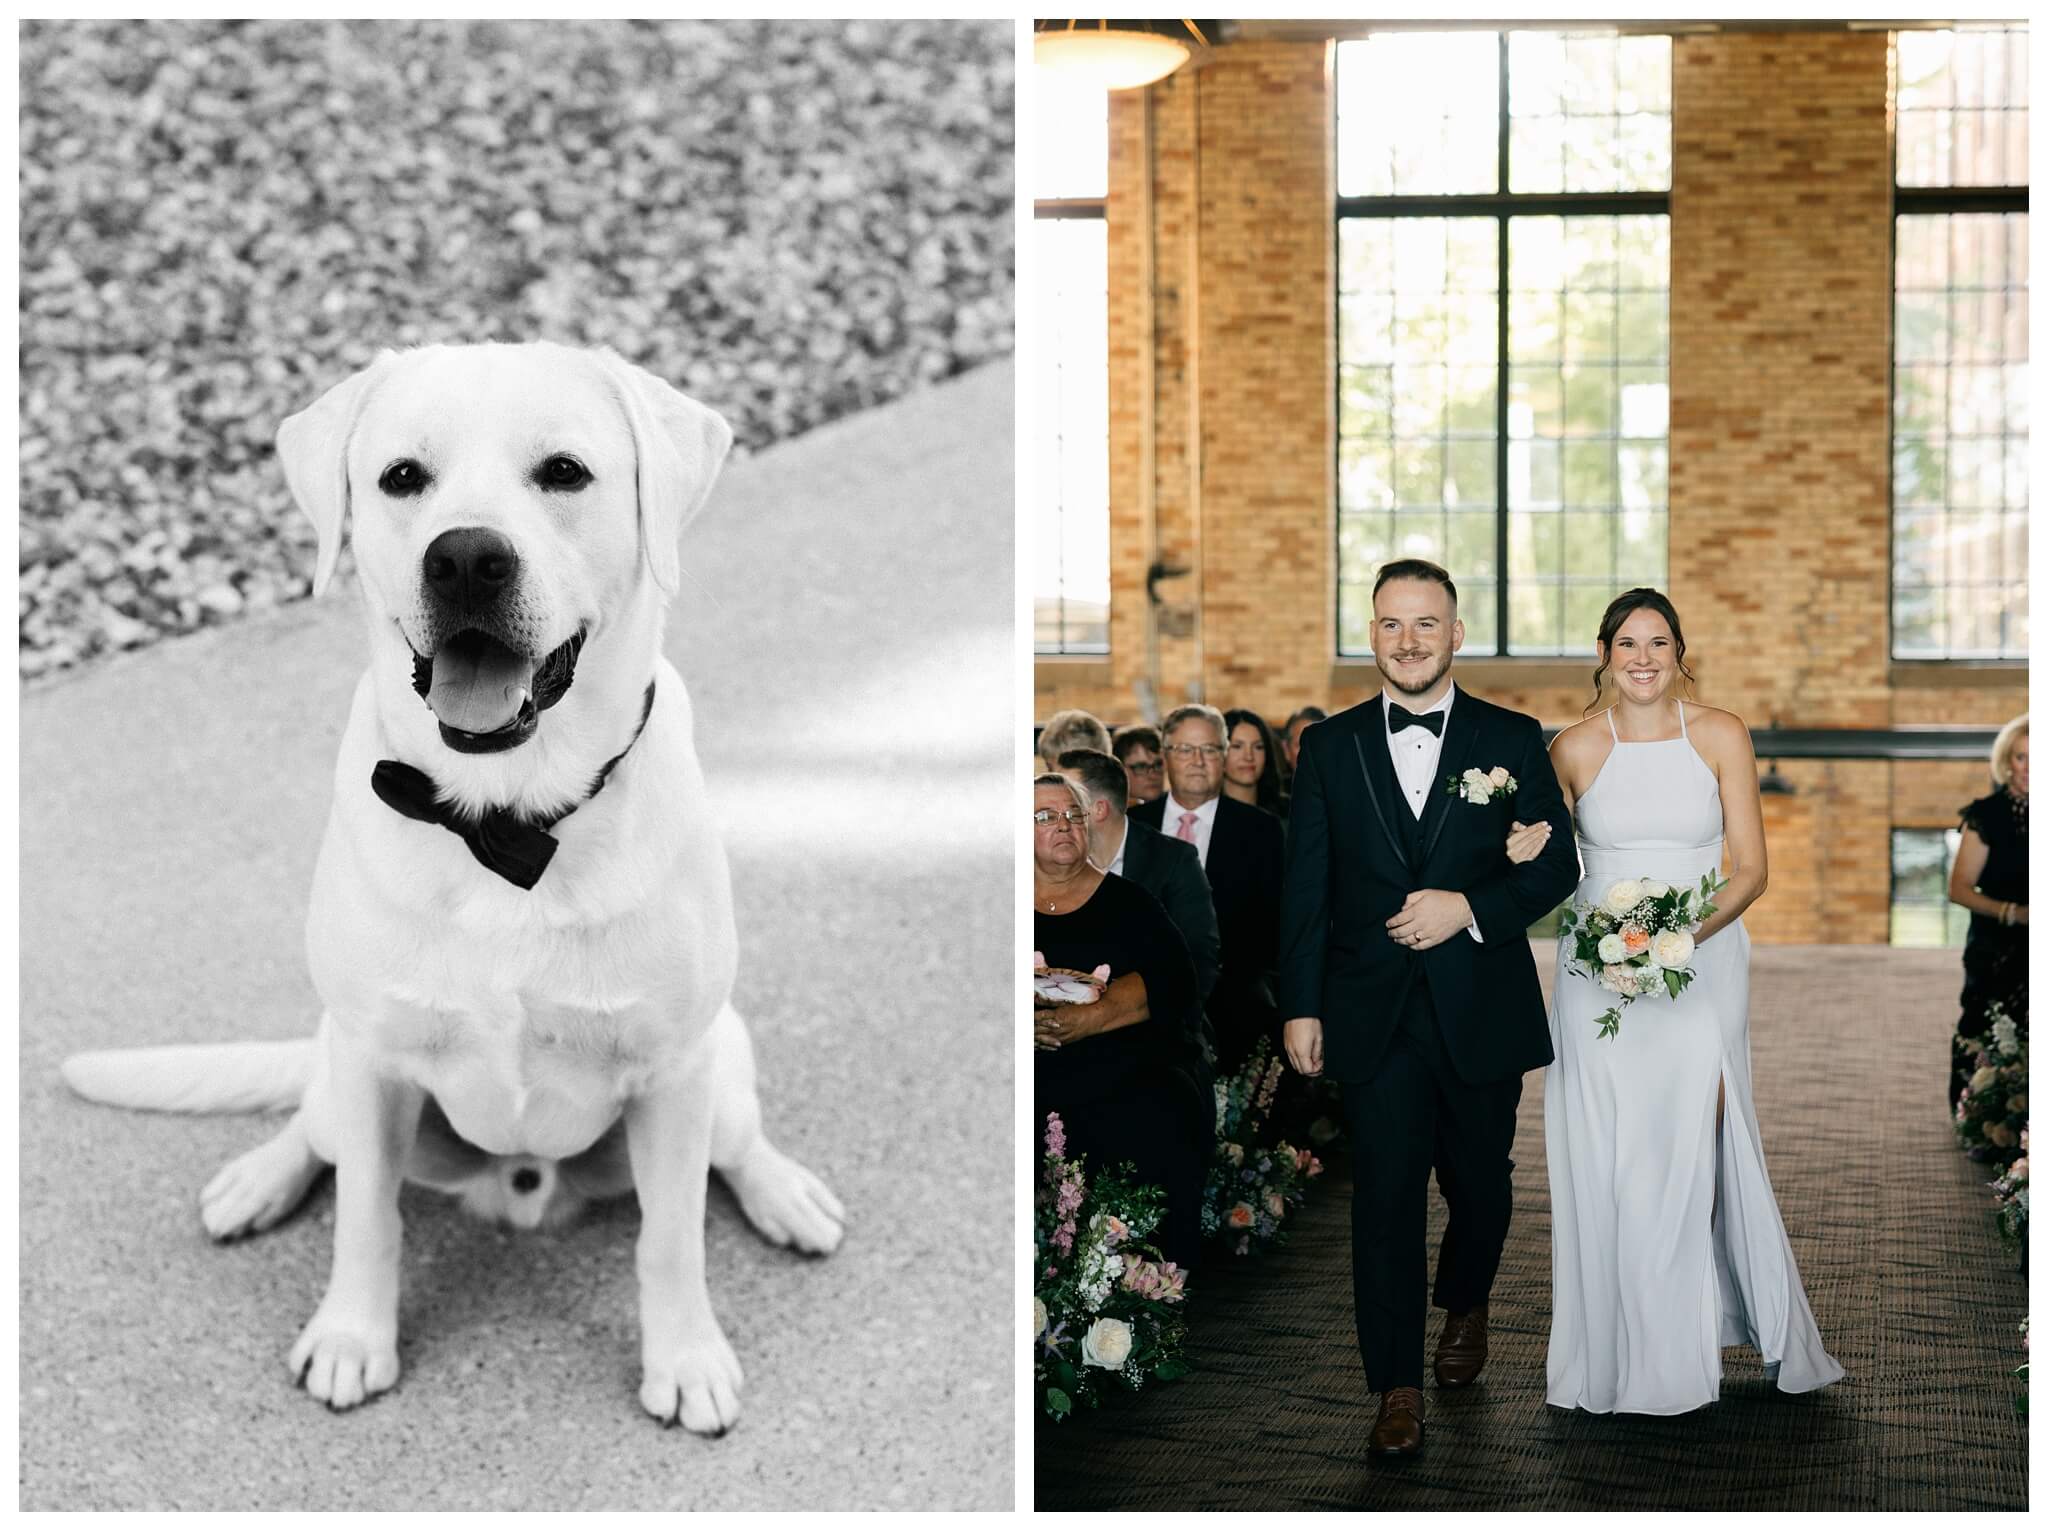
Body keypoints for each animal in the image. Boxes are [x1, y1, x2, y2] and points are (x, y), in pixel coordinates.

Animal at [64, 341, 843, 1432]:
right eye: (402, 477)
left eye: (564, 472)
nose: (466, 557)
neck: (503, 821)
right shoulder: (372, 1064)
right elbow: (366, 1220)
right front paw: (352, 1336)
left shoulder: (673, 1074)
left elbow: (671, 1236)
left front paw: (686, 1359)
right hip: (341, 1070)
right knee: (314, 1132)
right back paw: (259, 1177)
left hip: (721, 1064)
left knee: (735, 1147)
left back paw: (782, 1192)